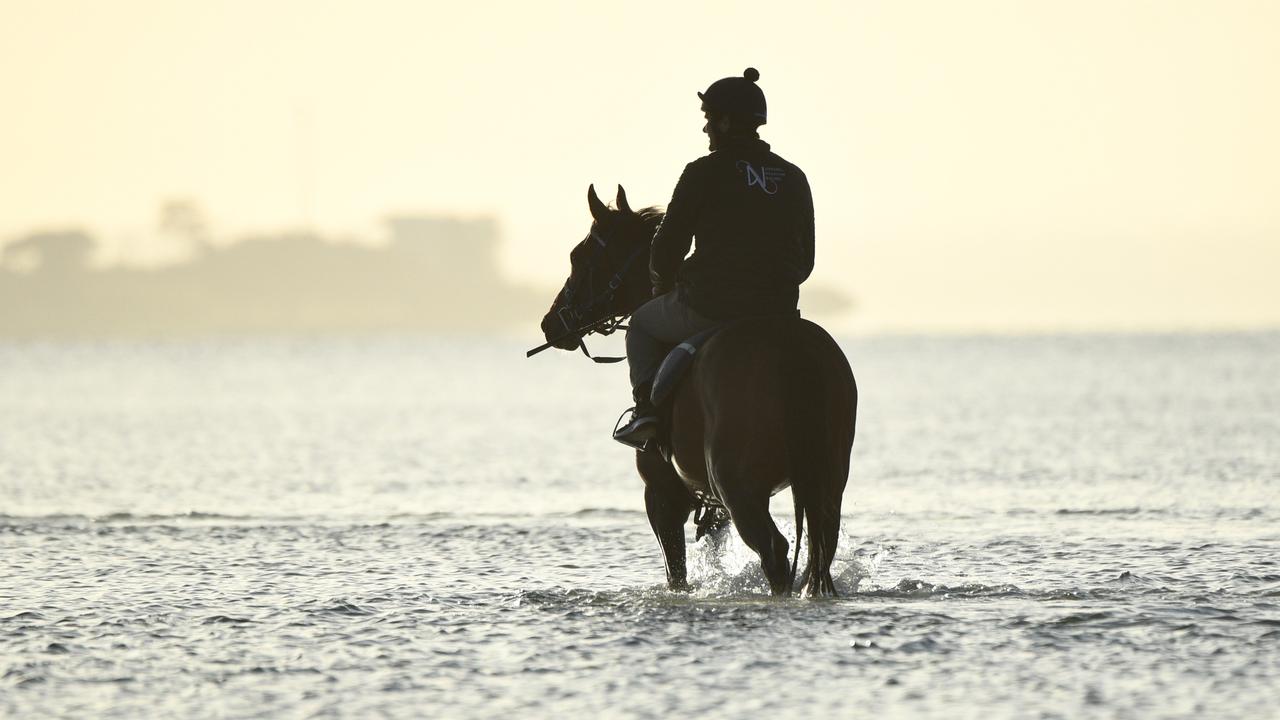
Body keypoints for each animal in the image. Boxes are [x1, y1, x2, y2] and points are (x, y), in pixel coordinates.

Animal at [540, 183, 860, 594]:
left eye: (579, 257)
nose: (551, 323)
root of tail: (790, 348)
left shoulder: (662, 495)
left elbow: (676, 574)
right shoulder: (715, 507)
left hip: (740, 490)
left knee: (774, 551)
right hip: (825, 482)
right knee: (820, 550)